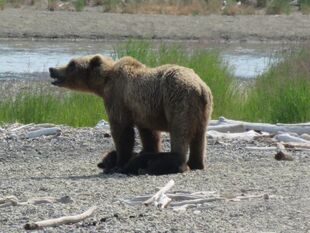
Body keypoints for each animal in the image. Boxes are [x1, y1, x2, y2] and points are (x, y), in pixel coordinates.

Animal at [49, 54, 213, 175]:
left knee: (180, 132)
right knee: (200, 137)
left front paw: (119, 163)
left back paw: (172, 163)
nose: (52, 69)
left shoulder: (118, 98)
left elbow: (122, 130)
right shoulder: (145, 111)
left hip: (178, 101)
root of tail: (200, 87)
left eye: (71, 64)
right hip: (203, 110)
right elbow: (149, 134)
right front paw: (146, 152)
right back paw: (196, 163)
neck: (104, 83)